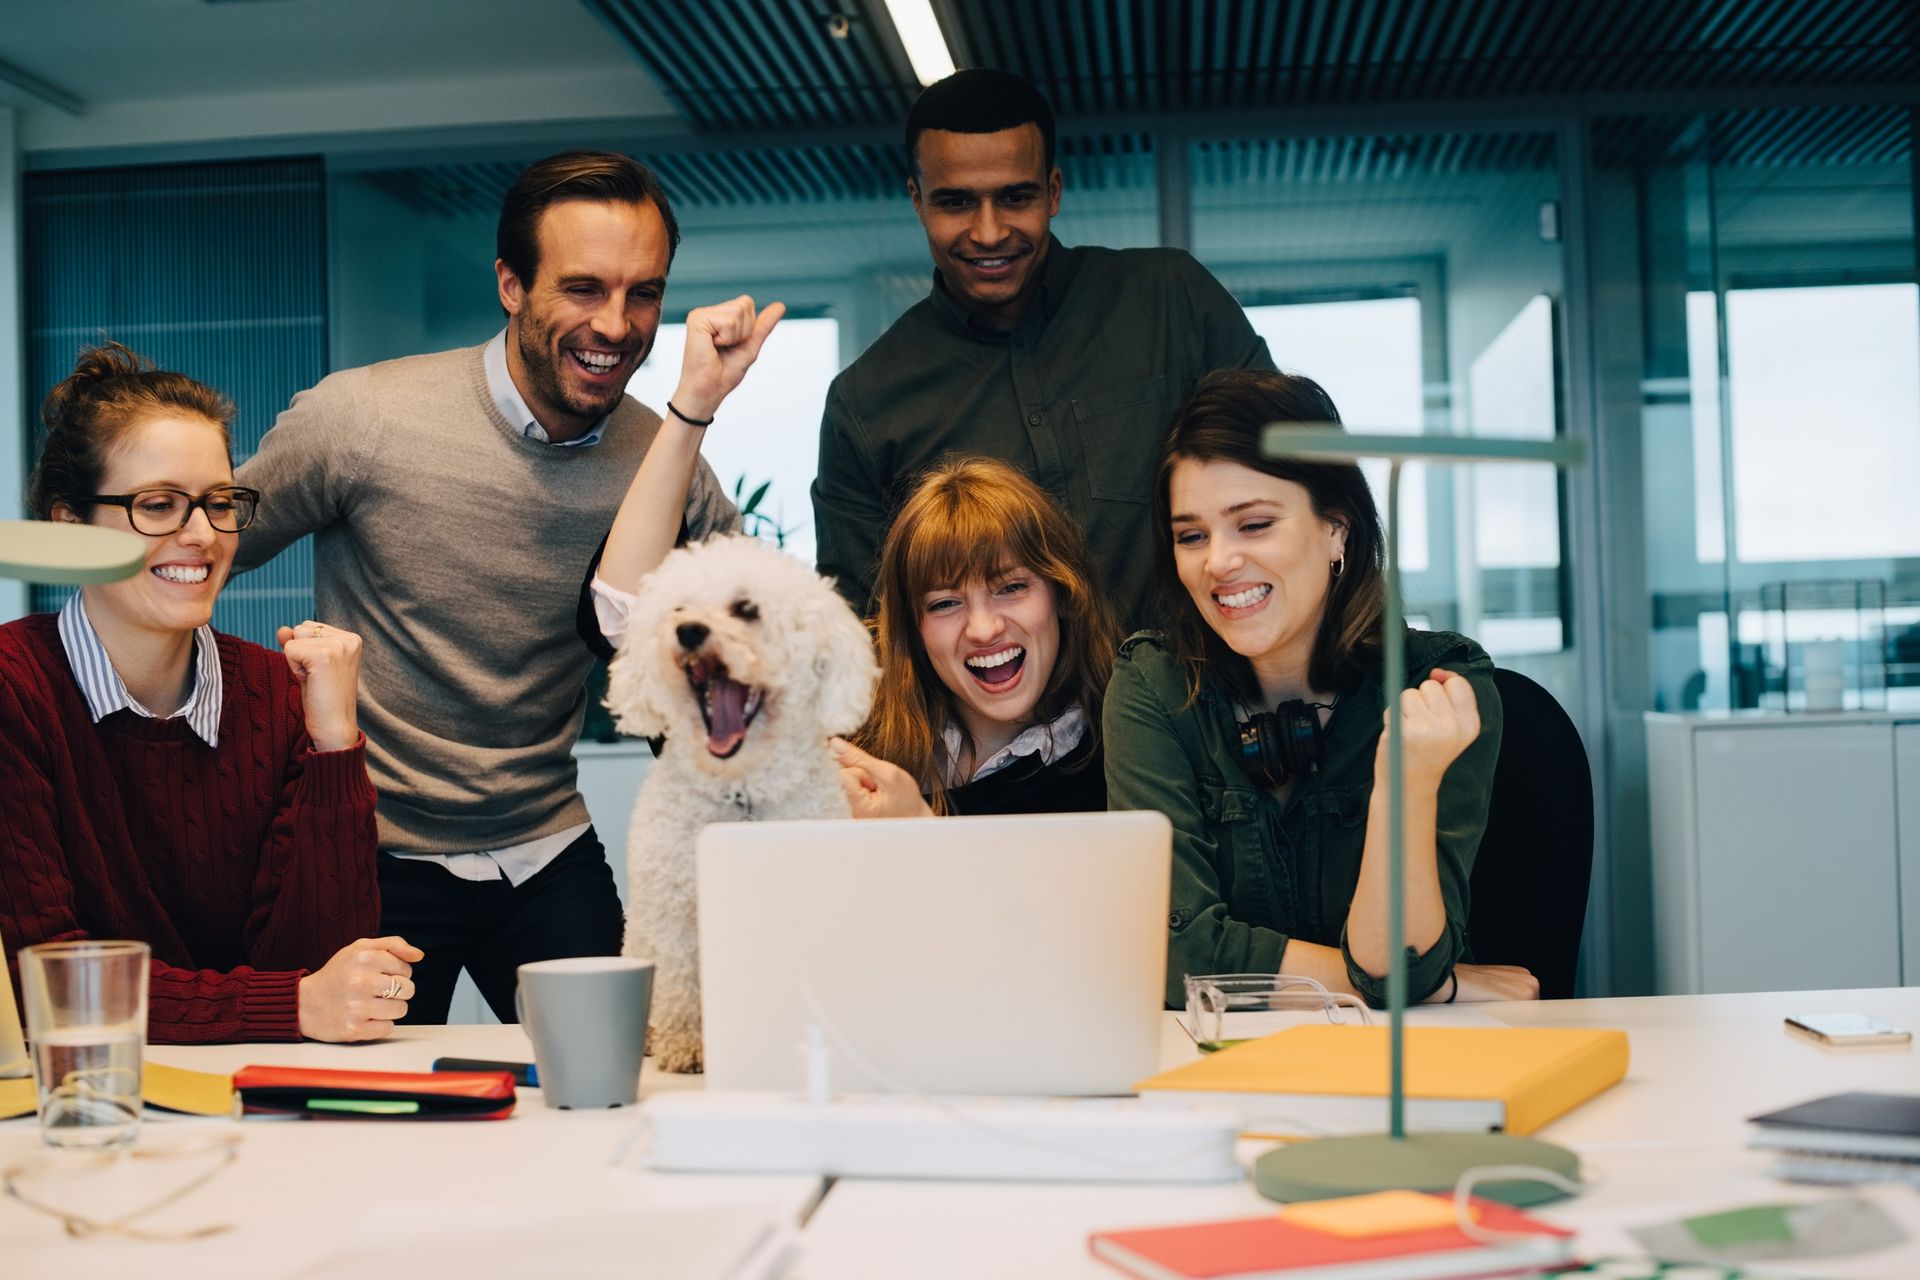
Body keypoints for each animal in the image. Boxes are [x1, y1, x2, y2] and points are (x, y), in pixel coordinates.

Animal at [606, 537, 879, 1074]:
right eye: (678, 610)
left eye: (747, 609)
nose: (689, 631)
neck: (741, 792)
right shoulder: (675, 912)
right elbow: (682, 983)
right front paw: (688, 1046)